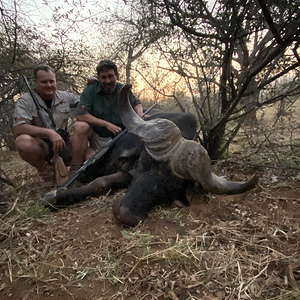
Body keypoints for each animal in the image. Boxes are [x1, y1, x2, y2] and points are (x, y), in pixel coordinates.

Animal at [44, 83, 258, 226]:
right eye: (142, 164)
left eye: (170, 186)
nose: (125, 214)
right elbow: (97, 181)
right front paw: (55, 195)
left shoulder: (124, 175)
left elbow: (103, 182)